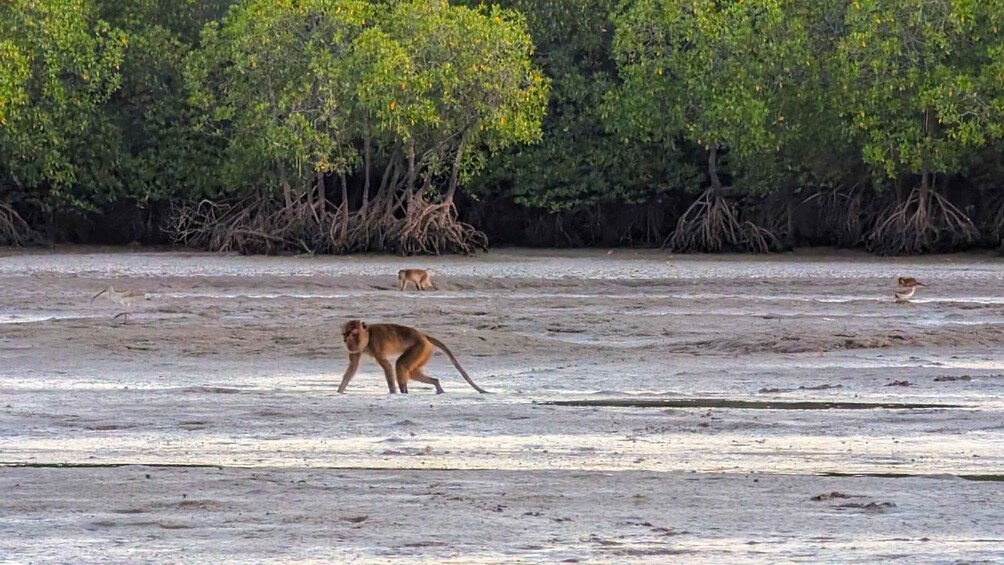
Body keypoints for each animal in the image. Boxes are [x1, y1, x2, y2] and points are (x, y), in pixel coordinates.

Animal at [341, 321, 489, 395]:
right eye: (345, 334)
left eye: (353, 334)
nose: (346, 341)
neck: (368, 337)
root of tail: (423, 335)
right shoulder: (356, 350)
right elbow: (352, 368)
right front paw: (339, 392)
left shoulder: (376, 344)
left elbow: (388, 367)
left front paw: (393, 393)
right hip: (424, 352)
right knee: (411, 372)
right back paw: (436, 385)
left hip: (420, 347)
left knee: (400, 365)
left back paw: (404, 392)